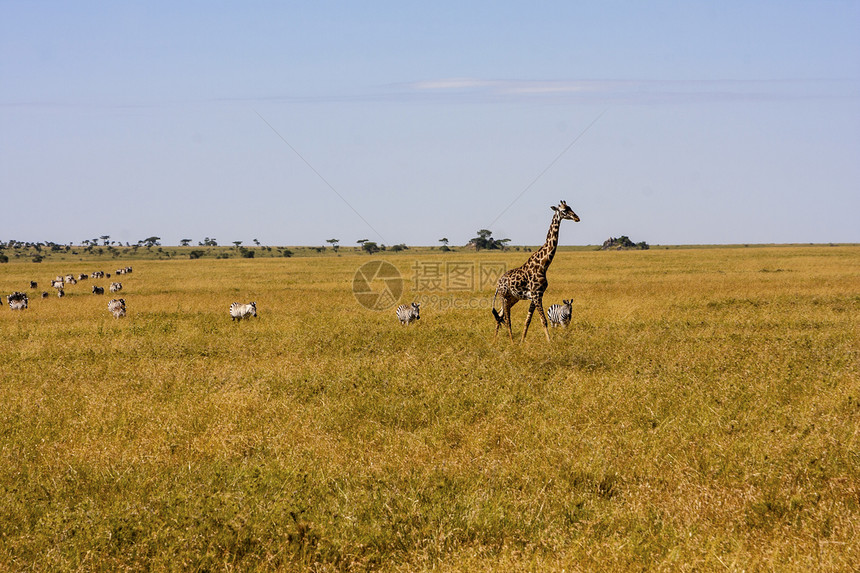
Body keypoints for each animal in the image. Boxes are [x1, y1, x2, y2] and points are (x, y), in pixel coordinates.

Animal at [490, 199, 576, 342]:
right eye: (564, 210)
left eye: (571, 208)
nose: (577, 218)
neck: (543, 265)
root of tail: (498, 283)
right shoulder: (536, 295)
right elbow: (543, 321)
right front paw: (550, 342)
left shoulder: (536, 295)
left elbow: (528, 321)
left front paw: (522, 341)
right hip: (504, 297)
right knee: (506, 318)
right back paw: (511, 342)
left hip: (513, 298)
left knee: (500, 315)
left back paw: (495, 341)